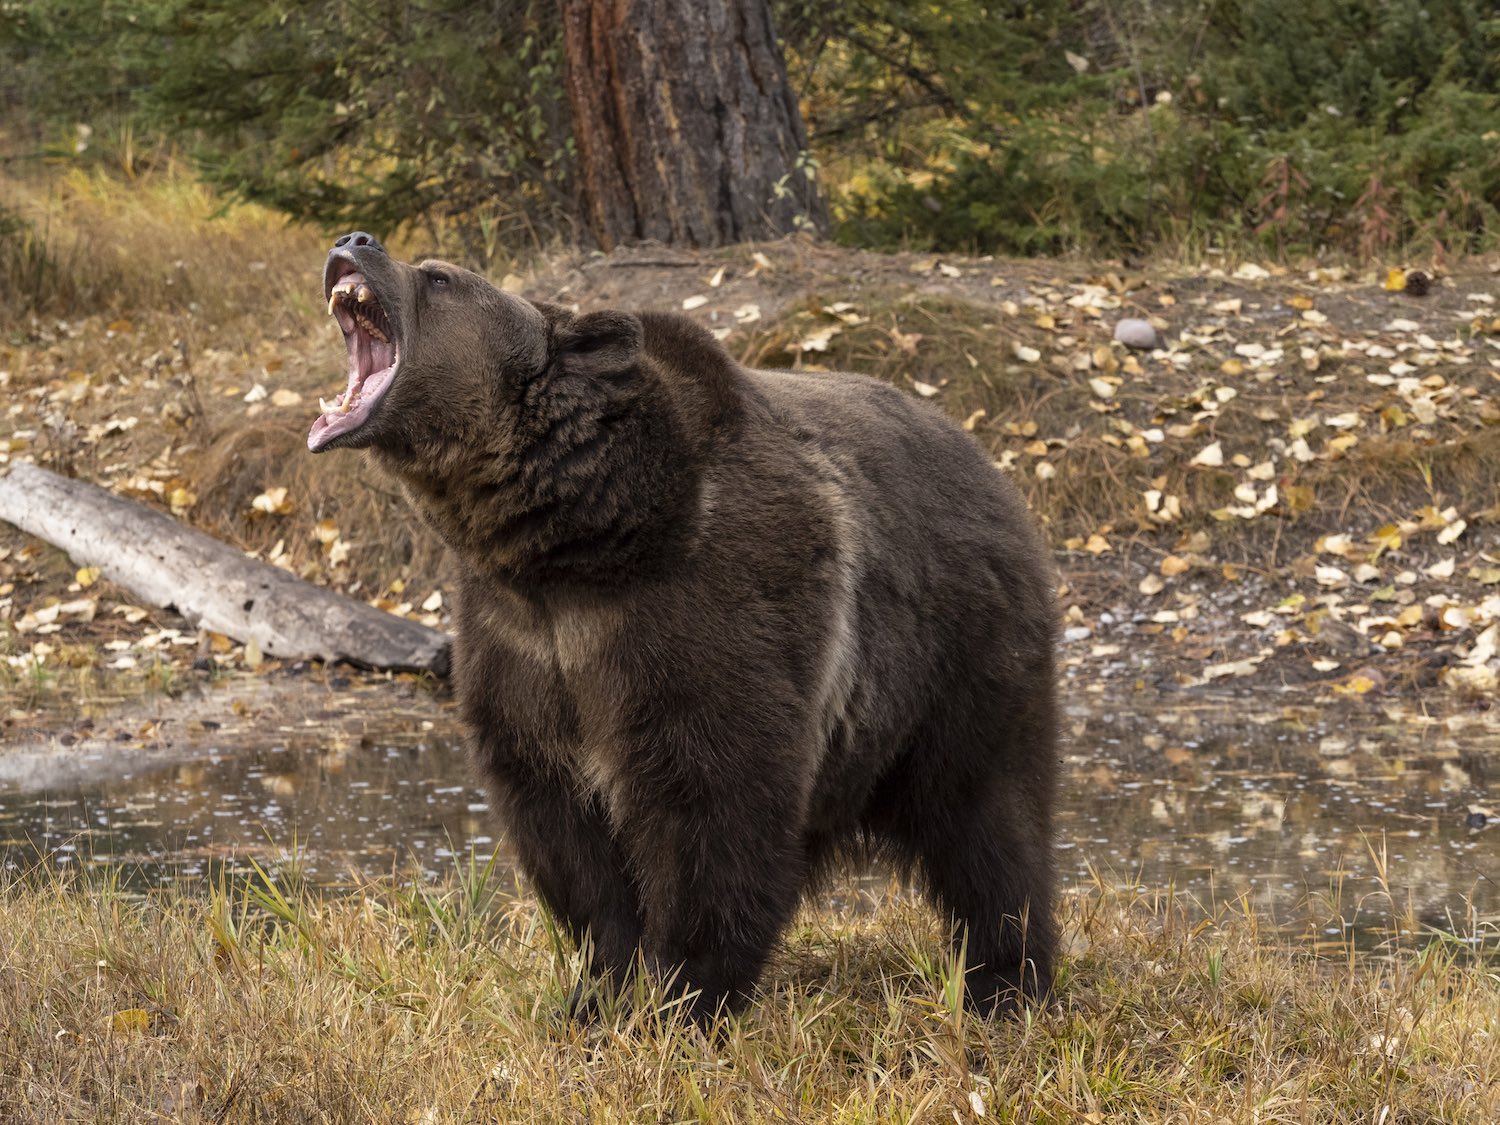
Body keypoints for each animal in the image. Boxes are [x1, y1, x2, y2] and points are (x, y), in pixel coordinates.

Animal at [310, 229, 1062, 1020]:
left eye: (440, 277)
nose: (355, 239)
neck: (575, 545)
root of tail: (990, 462)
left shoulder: (700, 614)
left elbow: (713, 808)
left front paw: (683, 996)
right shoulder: (523, 646)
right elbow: (566, 831)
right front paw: (598, 991)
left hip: (959, 656)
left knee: (988, 819)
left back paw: (1006, 981)